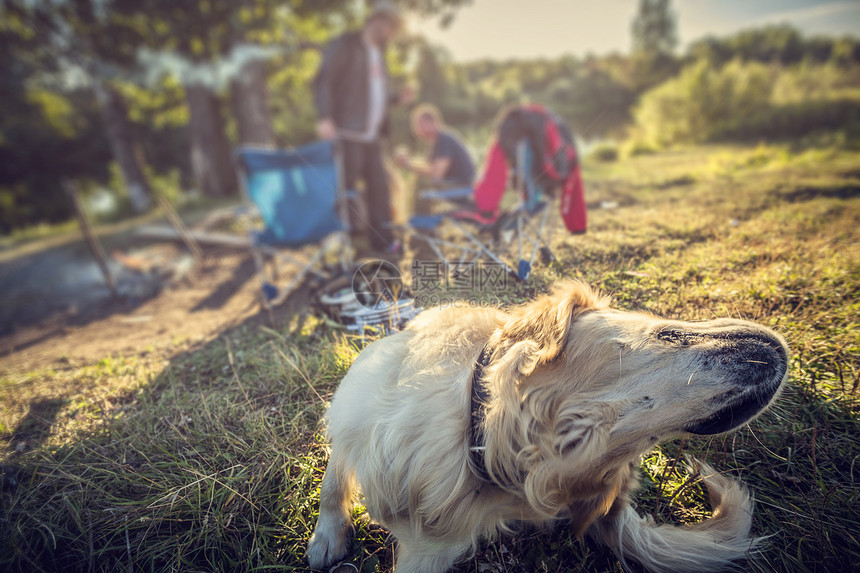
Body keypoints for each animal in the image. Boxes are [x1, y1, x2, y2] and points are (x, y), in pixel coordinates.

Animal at [306, 282, 788, 572]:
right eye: (666, 333)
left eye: (650, 439)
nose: (781, 357)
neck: (472, 434)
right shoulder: (350, 412)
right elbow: (332, 482)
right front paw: (327, 537)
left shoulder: (430, 548)